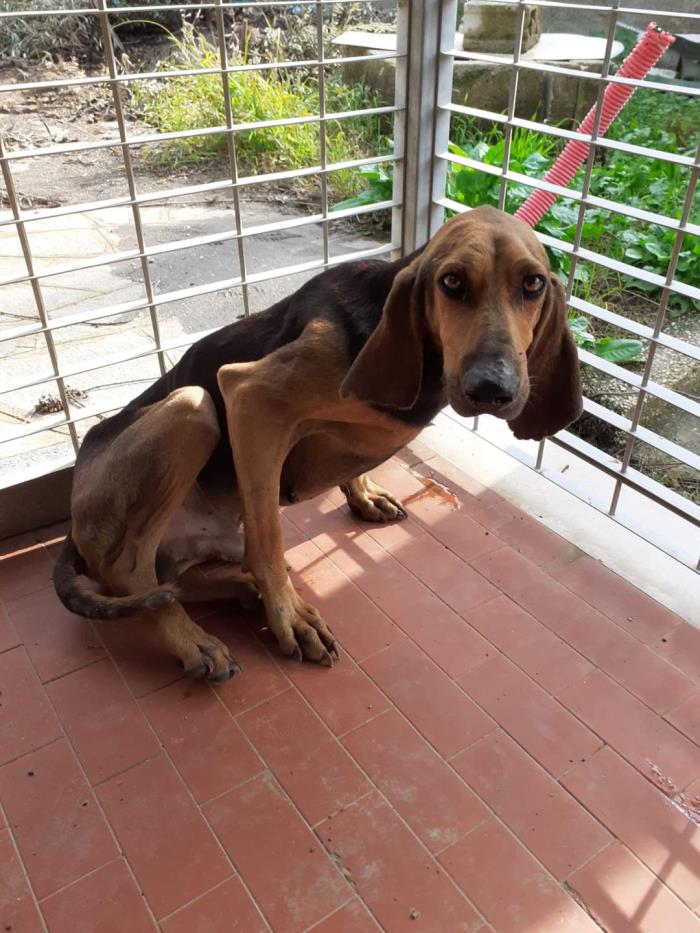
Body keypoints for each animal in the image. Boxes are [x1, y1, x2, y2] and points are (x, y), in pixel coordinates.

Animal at [53, 206, 582, 683]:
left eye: (533, 284)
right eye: (451, 282)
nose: (492, 387)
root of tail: (74, 526)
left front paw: (364, 495)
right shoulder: (250, 397)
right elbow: (269, 539)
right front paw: (289, 616)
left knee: (173, 581)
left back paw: (238, 589)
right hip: (193, 406)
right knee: (133, 570)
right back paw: (193, 640)